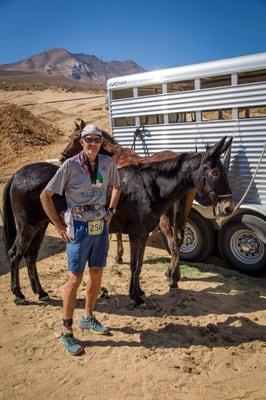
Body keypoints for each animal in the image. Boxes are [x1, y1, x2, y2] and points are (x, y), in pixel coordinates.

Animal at [2, 123, 232, 304]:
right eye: (215, 172)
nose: (227, 207)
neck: (150, 185)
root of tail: (17, 174)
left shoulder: (140, 234)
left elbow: (138, 265)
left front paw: (138, 292)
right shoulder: (137, 234)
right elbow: (135, 265)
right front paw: (136, 296)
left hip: (40, 225)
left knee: (30, 257)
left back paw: (40, 292)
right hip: (28, 226)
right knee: (15, 254)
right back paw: (19, 294)